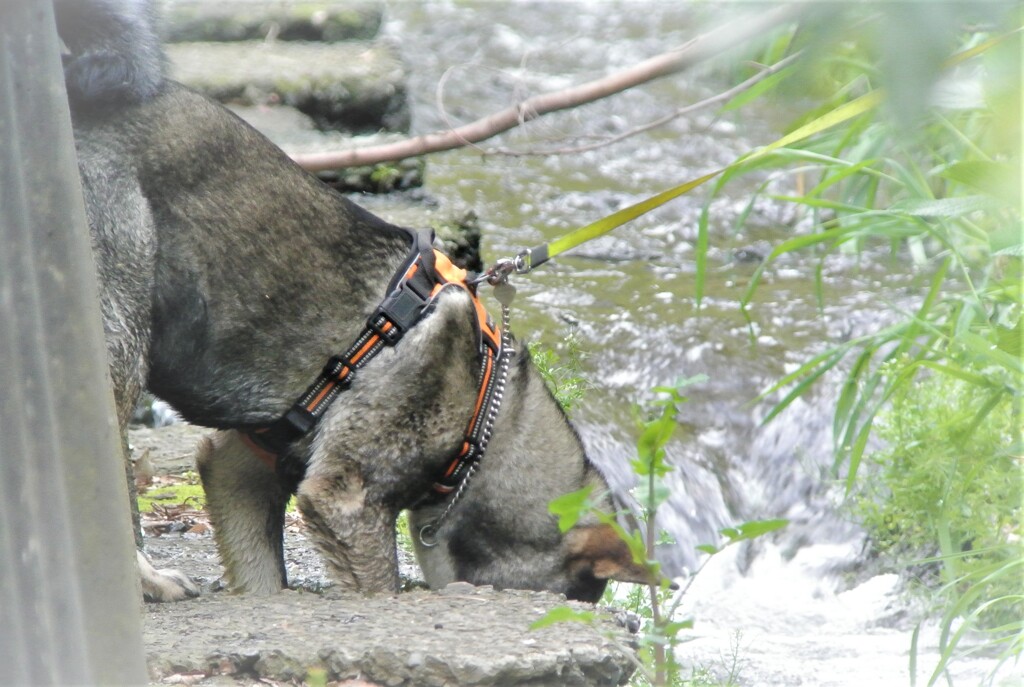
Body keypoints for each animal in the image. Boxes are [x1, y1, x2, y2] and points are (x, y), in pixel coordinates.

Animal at [56, 0, 651, 602]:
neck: (486, 415)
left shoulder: (238, 470)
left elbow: (263, 576)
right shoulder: (346, 499)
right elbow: (379, 587)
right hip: (121, 347)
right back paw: (141, 577)